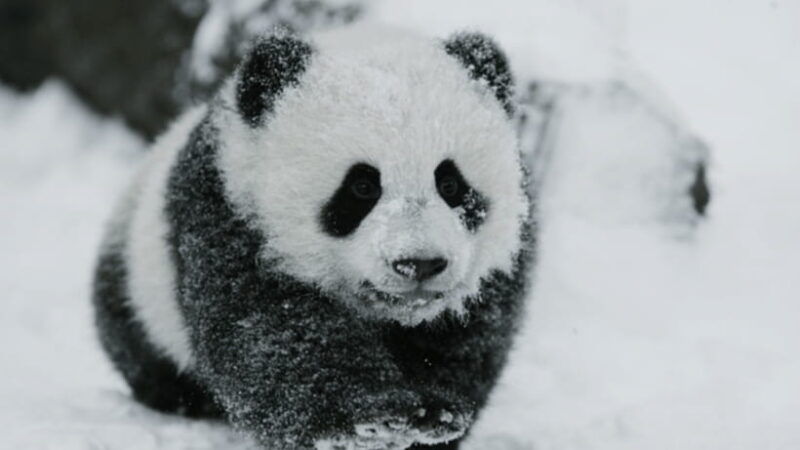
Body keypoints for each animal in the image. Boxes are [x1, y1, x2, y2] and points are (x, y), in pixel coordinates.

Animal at [93, 26, 534, 450]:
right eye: (361, 187)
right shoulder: (228, 214)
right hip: (137, 289)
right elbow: (272, 334)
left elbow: (465, 343)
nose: (419, 264)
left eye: (451, 183)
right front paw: (374, 416)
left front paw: (434, 413)